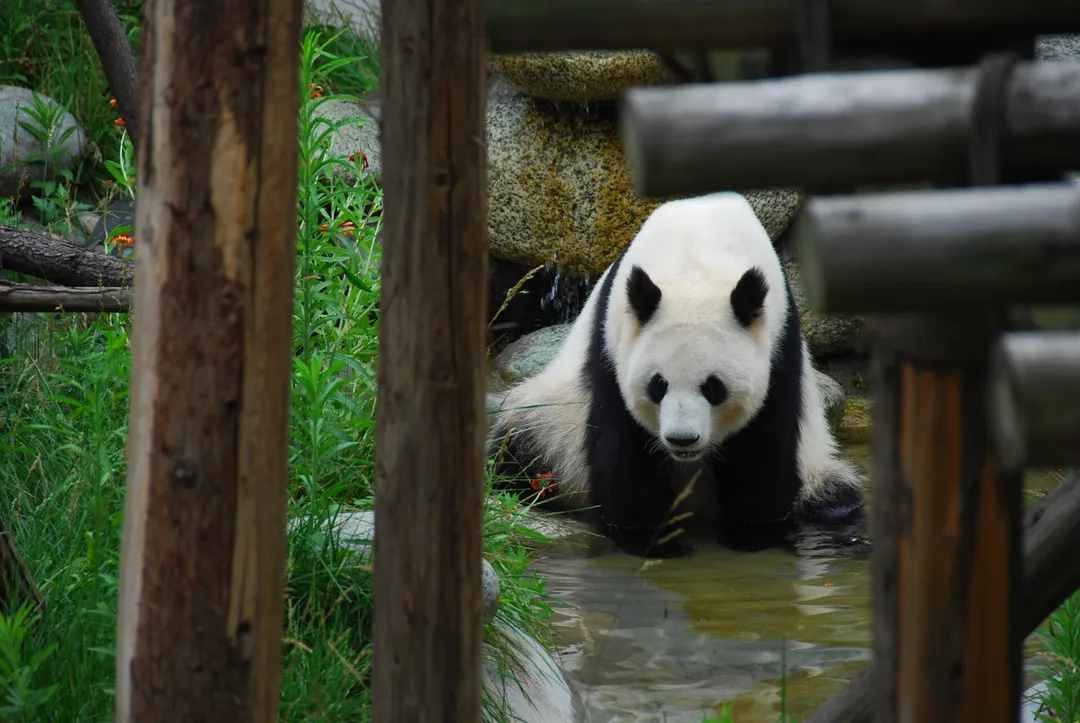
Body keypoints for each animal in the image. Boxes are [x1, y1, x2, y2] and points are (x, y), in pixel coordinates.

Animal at [486, 192, 865, 559]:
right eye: (658, 385)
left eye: (714, 388)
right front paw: (652, 541)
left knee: (836, 500)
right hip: (552, 428)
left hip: (817, 465)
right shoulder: (611, 346)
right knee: (517, 451)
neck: (693, 263)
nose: (682, 439)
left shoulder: (780, 345)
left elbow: (762, 451)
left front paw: (752, 536)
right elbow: (624, 452)